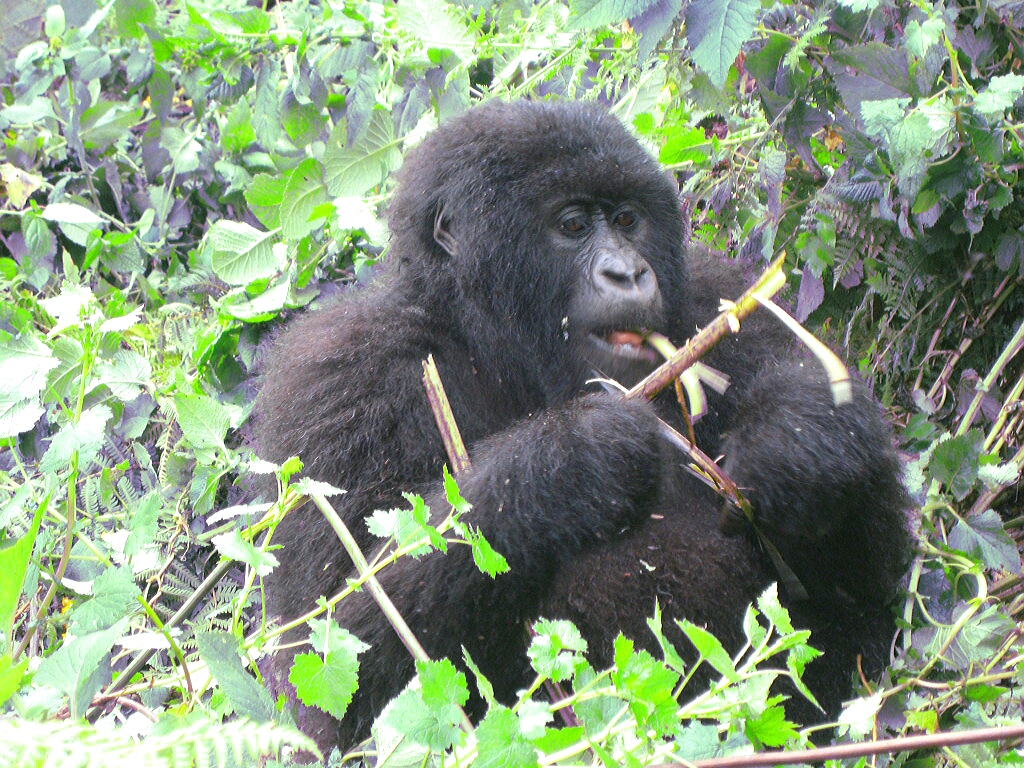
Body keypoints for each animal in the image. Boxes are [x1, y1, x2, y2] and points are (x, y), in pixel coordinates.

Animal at [253, 99, 905, 753]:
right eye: (570, 226)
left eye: (626, 220)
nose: (628, 273)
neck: (490, 344)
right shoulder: (344, 374)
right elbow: (345, 664)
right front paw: (574, 463)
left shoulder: (717, 294)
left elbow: (857, 618)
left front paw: (795, 446)